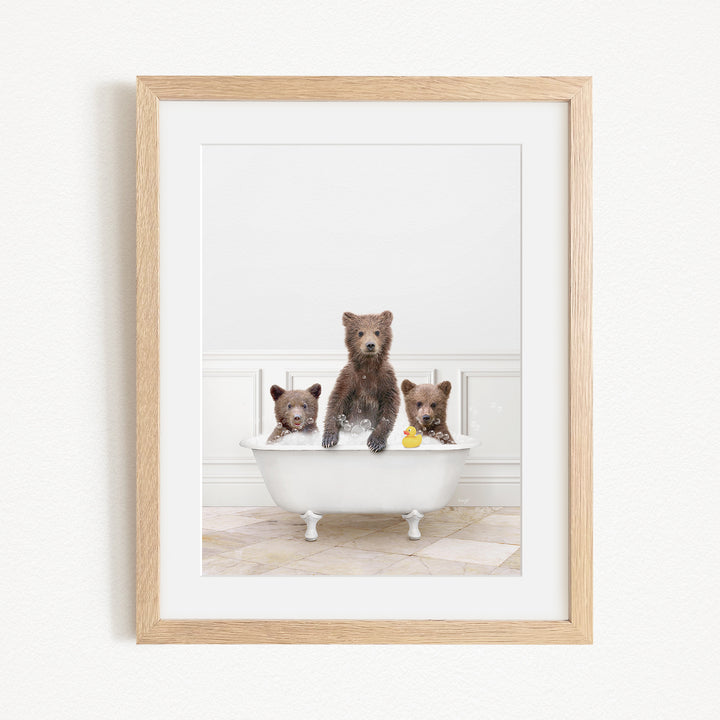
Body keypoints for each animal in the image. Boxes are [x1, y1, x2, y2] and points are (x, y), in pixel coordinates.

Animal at [322, 311, 400, 453]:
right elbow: (336, 401)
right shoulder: (349, 377)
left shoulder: (386, 379)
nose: (370, 345)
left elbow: (389, 407)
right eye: (360, 332)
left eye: (377, 331)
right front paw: (329, 439)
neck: (368, 366)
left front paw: (375, 443)